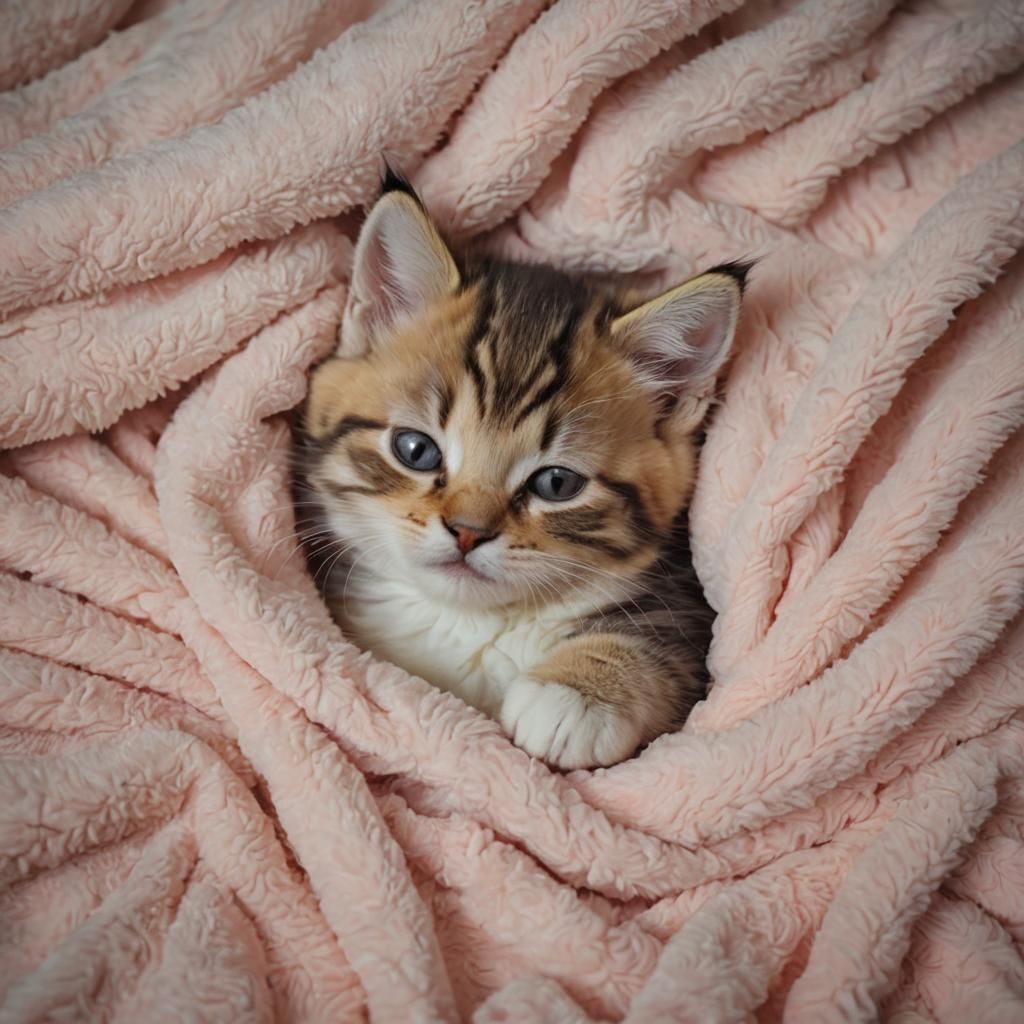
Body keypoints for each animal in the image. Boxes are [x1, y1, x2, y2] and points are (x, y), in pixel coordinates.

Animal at [296, 174, 745, 770]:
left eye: (556, 484)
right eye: (416, 450)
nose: (467, 532)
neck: (469, 623)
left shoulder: (689, 608)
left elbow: (666, 639)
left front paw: (578, 693)